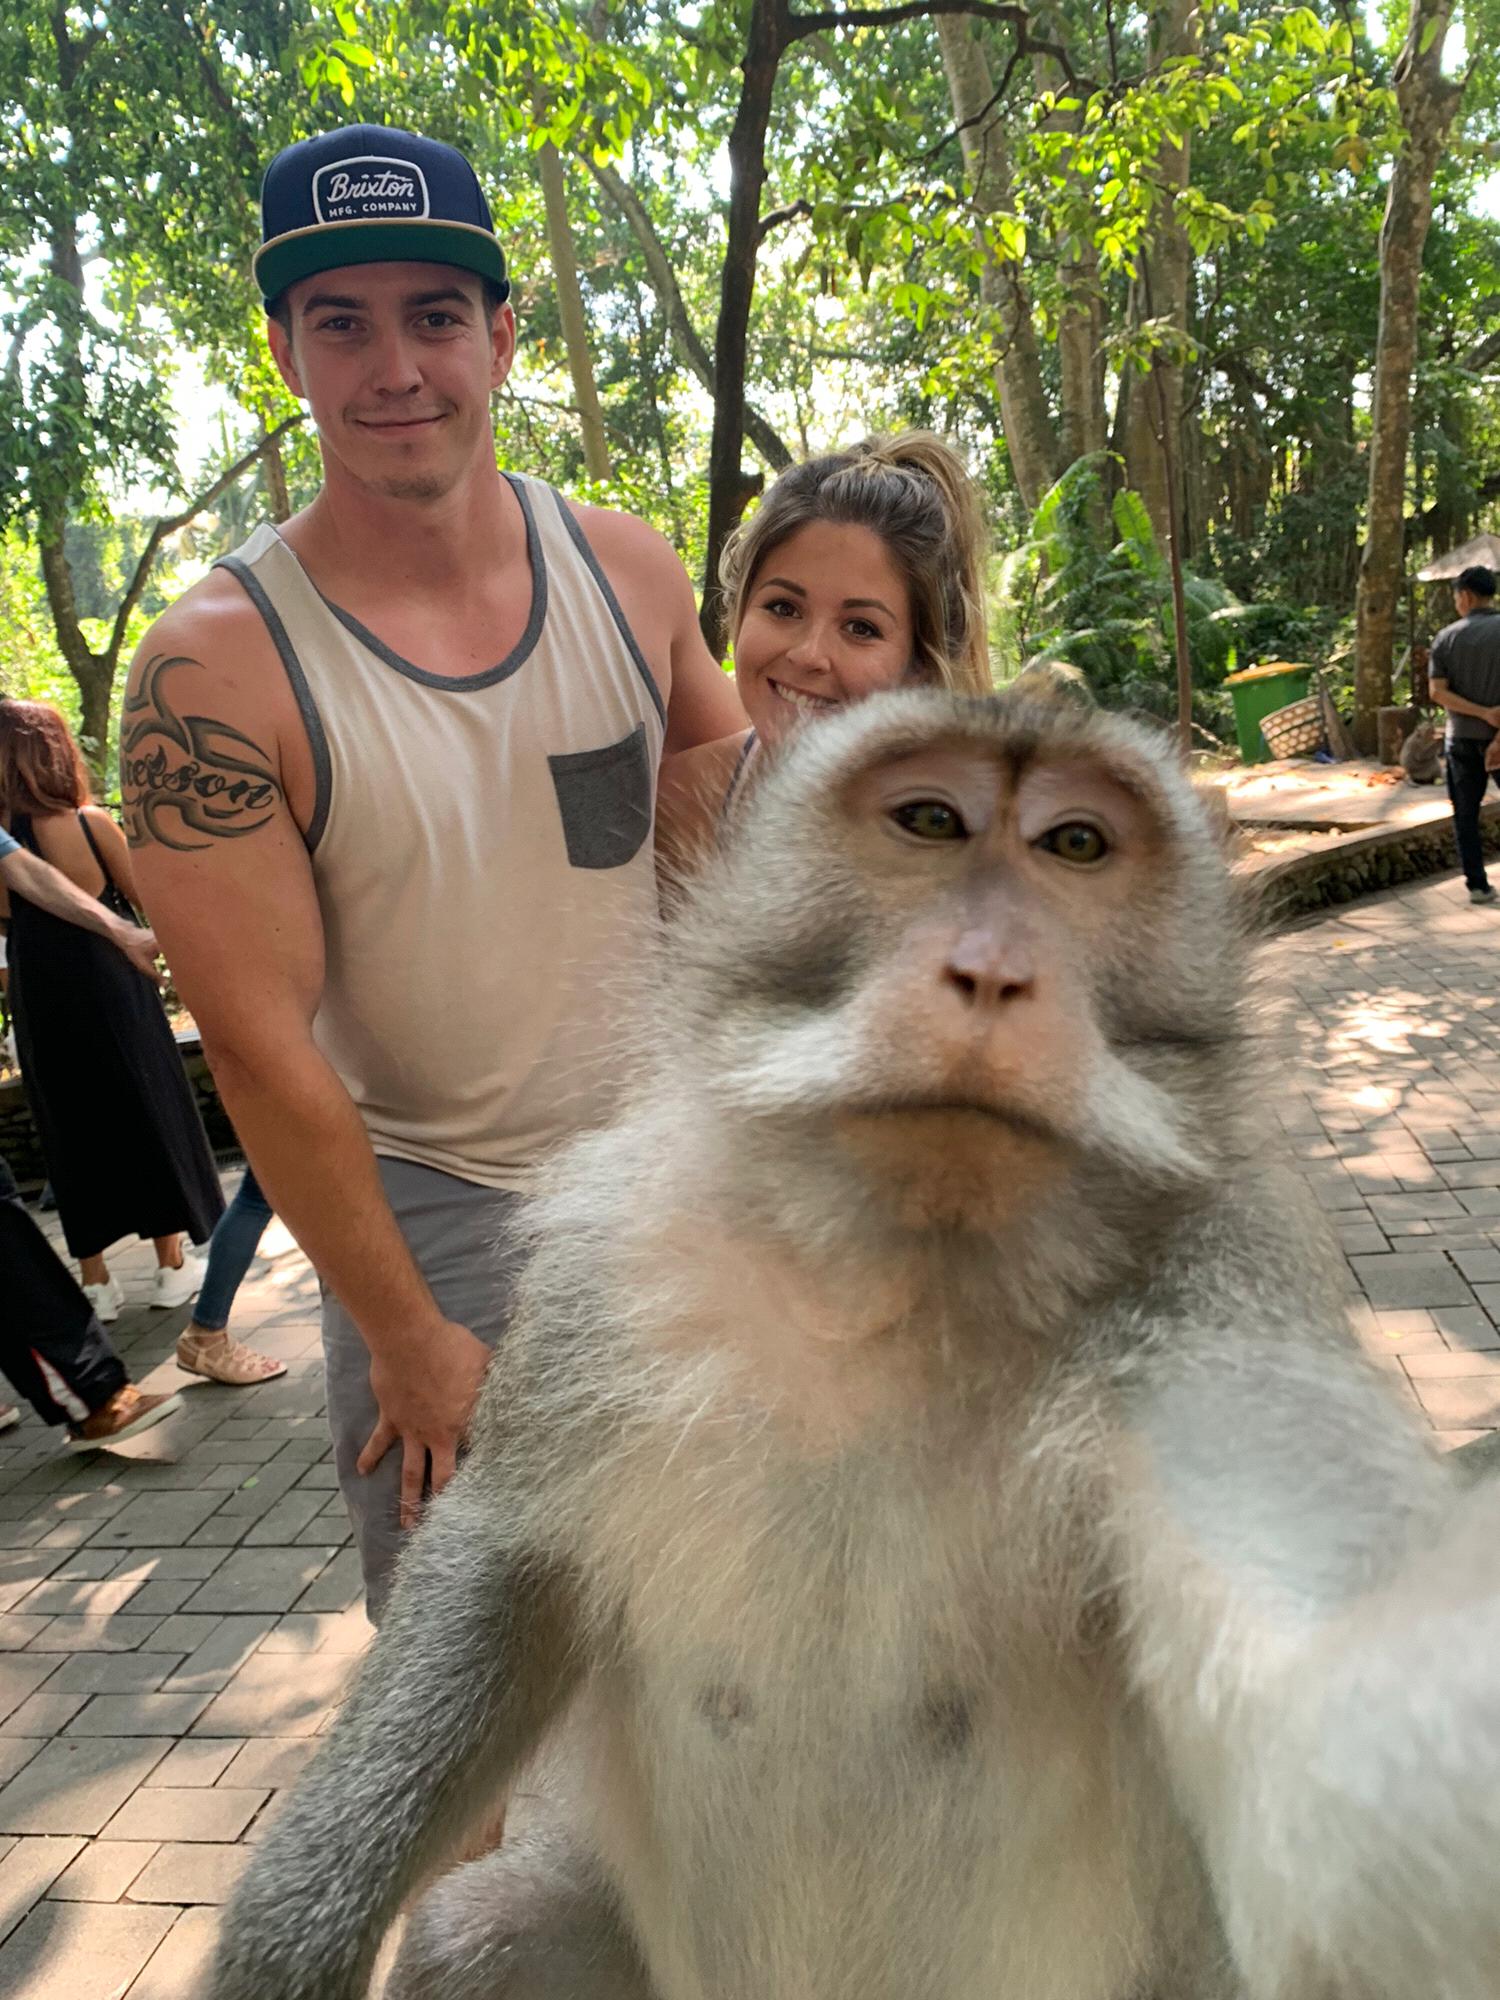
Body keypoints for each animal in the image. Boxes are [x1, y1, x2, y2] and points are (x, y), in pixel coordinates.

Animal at [211, 689, 1500, 2000]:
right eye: (930, 820)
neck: (898, 1284)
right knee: (476, 1935)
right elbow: (505, 1558)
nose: (992, 971)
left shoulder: (1218, 1303)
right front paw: (287, 1931)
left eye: (1076, 844)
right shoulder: (611, 1266)